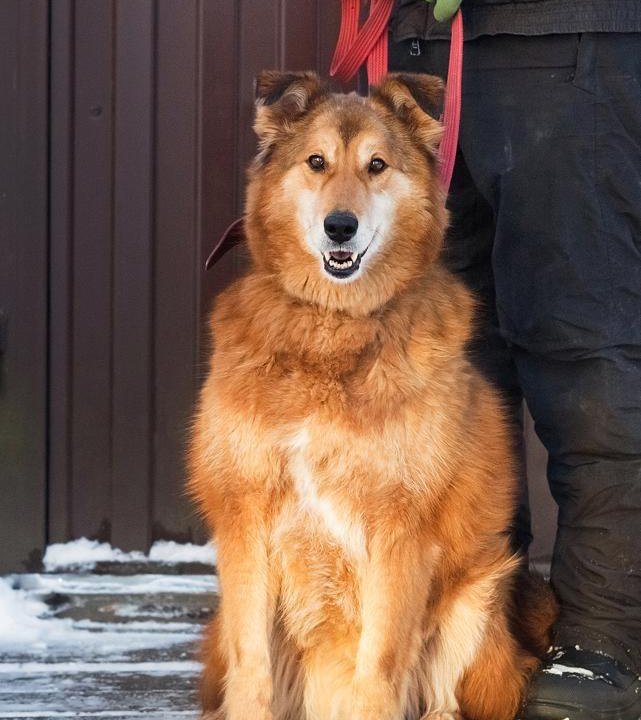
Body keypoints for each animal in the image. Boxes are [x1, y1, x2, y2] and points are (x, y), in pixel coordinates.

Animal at [186, 71, 556, 720]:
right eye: (316, 162)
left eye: (377, 165)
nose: (341, 226)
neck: (332, 329)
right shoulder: (244, 517)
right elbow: (252, 667)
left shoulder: (400, 528)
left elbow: (380, 668)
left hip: (476, 603)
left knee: (442, 701)